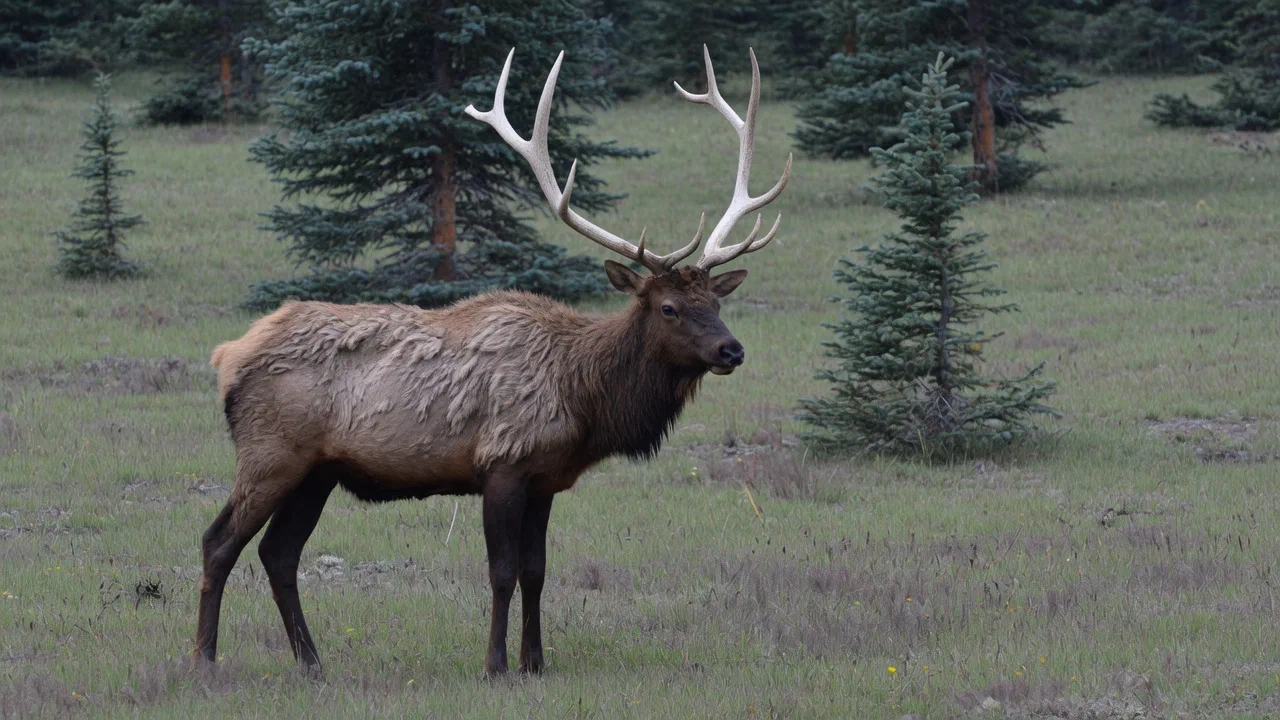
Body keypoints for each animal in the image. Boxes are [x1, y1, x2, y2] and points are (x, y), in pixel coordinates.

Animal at [195, 45, 791, 677]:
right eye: (670, 307)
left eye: (717, 302)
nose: (732, 350)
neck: (582, 397)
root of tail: (227, 356)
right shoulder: (502, 462)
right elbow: (502, 573)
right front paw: (496, 664)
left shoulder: (546, 479)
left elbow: (536, 572)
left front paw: (536, 662)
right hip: (271, 452)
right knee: (219, 542)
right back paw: (205, 660)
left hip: (318, 470)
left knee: (277, 553)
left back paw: (312, 663)